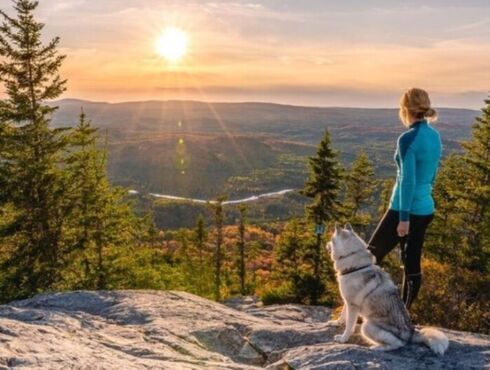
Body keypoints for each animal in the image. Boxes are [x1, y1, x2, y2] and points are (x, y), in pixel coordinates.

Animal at [326, 223, 448, 356]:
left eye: (331, 239)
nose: (326, 244)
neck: (355, 265)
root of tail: (411, 334)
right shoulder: (347, 301)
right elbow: (343, 314)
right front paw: (337, 322)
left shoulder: (353, 306)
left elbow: (349, 325)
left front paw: (343, 338)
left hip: (367, 326)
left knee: (398, 344)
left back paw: (377, 347)